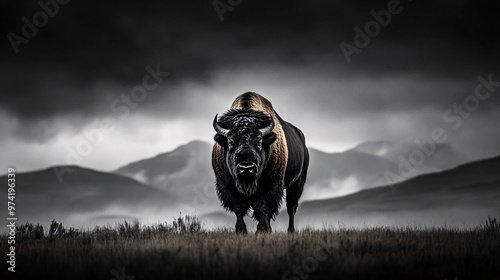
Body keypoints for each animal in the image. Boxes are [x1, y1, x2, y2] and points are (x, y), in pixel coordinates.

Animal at [212, 91, 308, 232]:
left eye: (259, 142)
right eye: (230, 142)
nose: (246, 168)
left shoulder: (271, 185)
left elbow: (263, 209)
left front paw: (262, 230)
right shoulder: (226, 185)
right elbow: (238, 209)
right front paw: (241, 230)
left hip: (297, 183)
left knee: (291, 207)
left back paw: (291, 231)